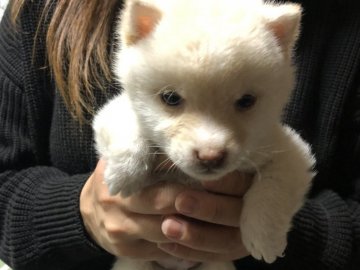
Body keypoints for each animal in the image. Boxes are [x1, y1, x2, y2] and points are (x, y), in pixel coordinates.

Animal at [93, 1, 316, 268]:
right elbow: (129, 125)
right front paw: (125, 172)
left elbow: (273, 190)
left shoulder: (289, 151)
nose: (210, 157)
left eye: (246, 101)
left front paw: (264, 238)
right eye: (170, 98)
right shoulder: (114, 111)